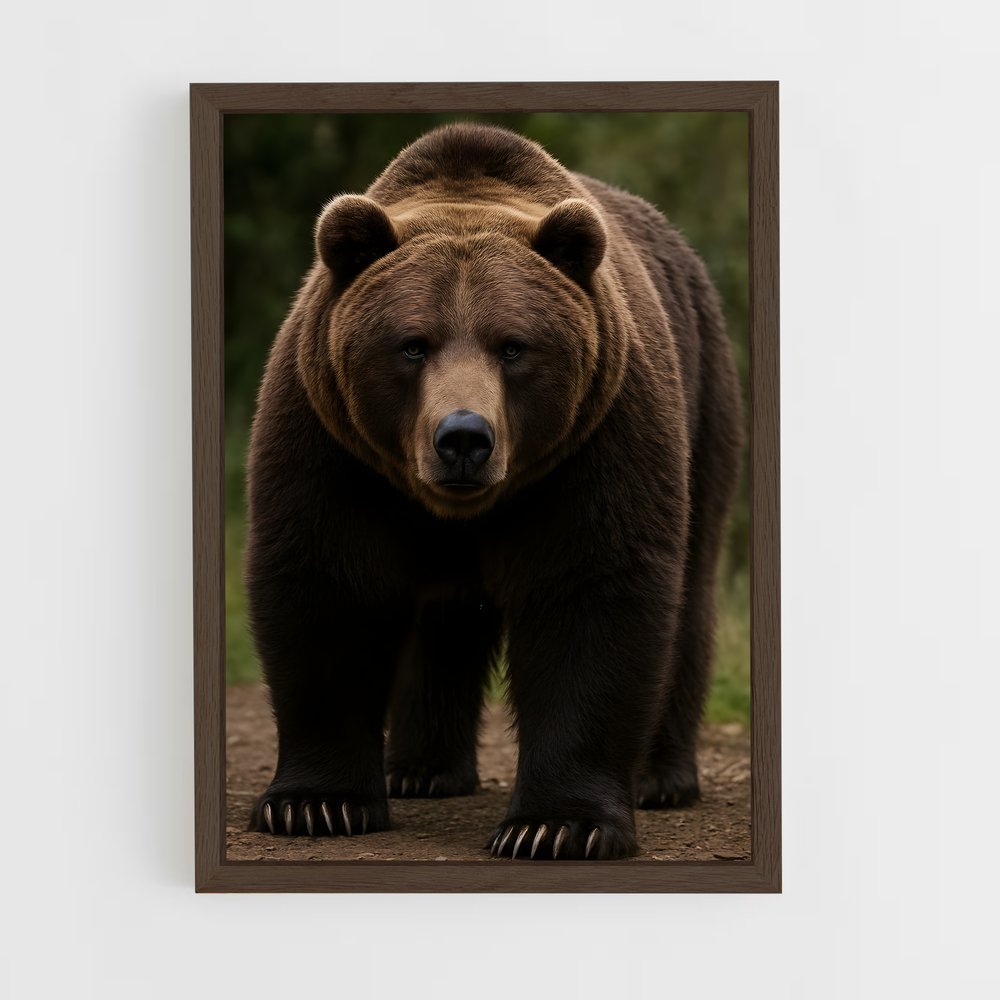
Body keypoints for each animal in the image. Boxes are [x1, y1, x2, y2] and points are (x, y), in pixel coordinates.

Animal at [244, 122, 743, 860]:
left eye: (513, 346)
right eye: (412, 344)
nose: (463, 437)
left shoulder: (597, 442)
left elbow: (591, 594)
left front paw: (556, 825)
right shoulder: (330, 444)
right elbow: (327, 586)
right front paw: (315, 803)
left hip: (704, 397)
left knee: (689, 586)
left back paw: (660, 776)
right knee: (444, 616)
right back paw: (419, 769)